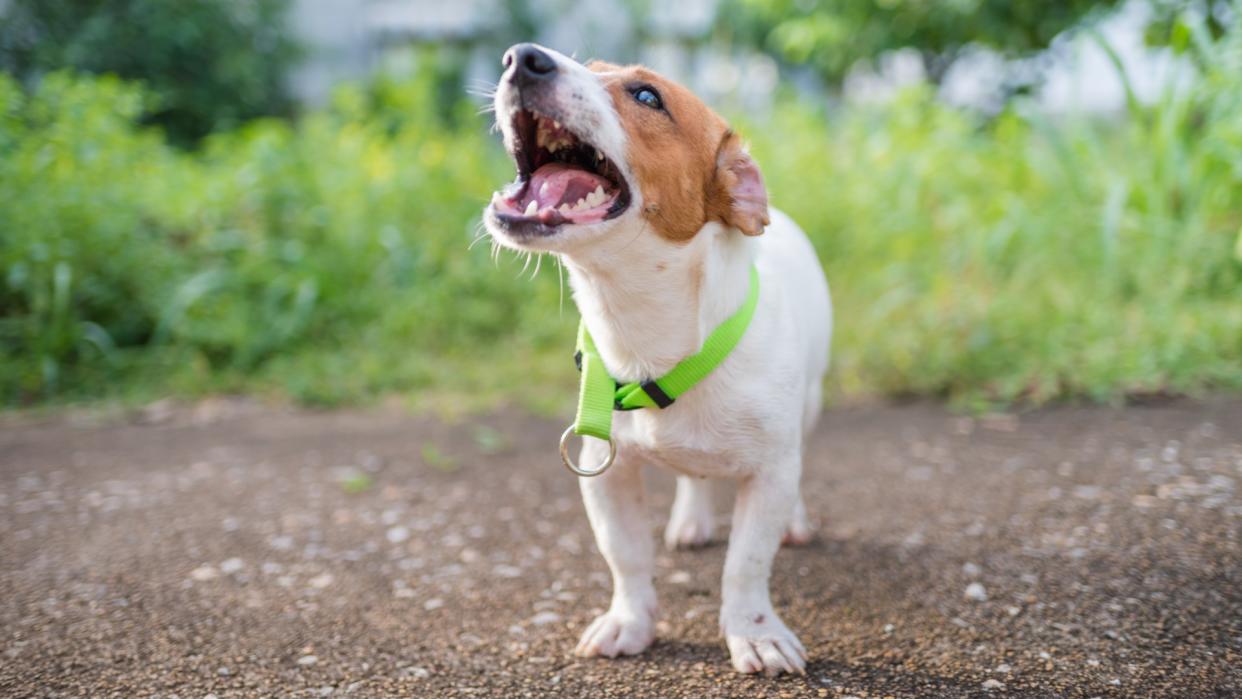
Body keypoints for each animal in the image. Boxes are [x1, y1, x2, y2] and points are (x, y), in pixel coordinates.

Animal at [479, 45, 829, 680]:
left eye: (647, 96)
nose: (522, 57)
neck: (651, 340)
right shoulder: (605, 471)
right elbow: (626, 556)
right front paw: (630, 622)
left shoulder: (770, 472)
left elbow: (746, 564)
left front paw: (755, 633)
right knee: (694, 479)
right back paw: (691, 520)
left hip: (808, 409)